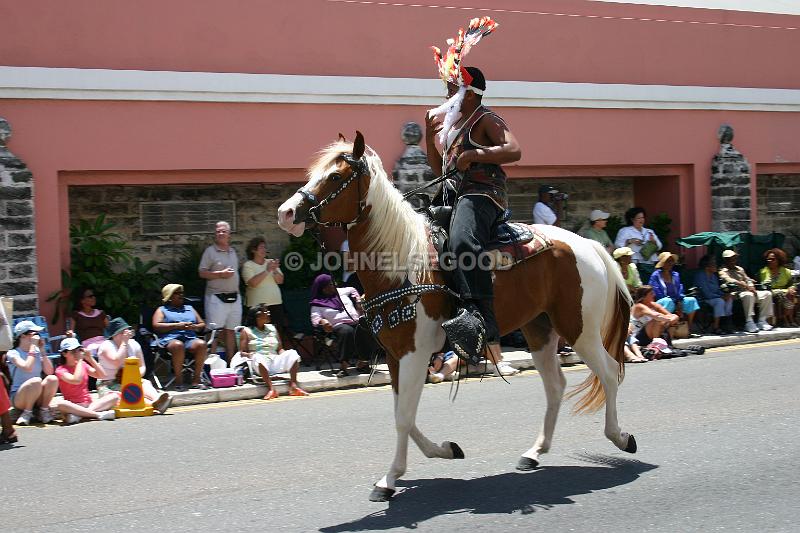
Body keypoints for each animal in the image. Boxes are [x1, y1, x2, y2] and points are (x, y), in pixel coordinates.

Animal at [280, 131, 636, 500]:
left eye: (336, 177)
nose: (286, 213)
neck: (403, 265)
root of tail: (588, 245)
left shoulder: (415, 352)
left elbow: (403, 418)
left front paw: (388, 480)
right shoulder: (395, 355)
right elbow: (403, 414)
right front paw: (444, 450)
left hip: (580, 328)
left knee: (609, 372)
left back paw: (620, 437)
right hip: (539, 329)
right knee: (555, 385)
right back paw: (534, 452)